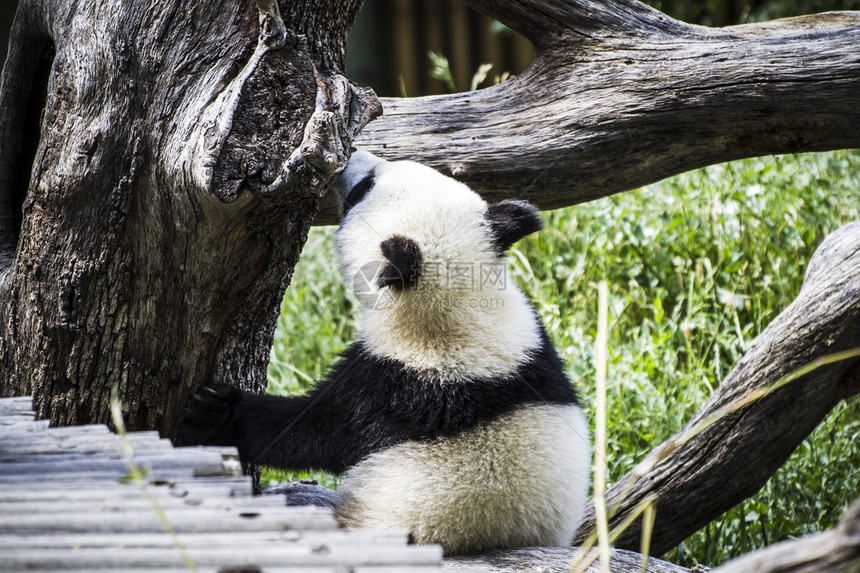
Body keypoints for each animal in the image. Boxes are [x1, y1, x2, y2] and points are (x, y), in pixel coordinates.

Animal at [178, 152, 588, 556]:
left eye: (363, 188)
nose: (350, 159)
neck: (457, 310)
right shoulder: (534, 349)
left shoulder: (392, 385)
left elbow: (310, 432)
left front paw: (217, 410)